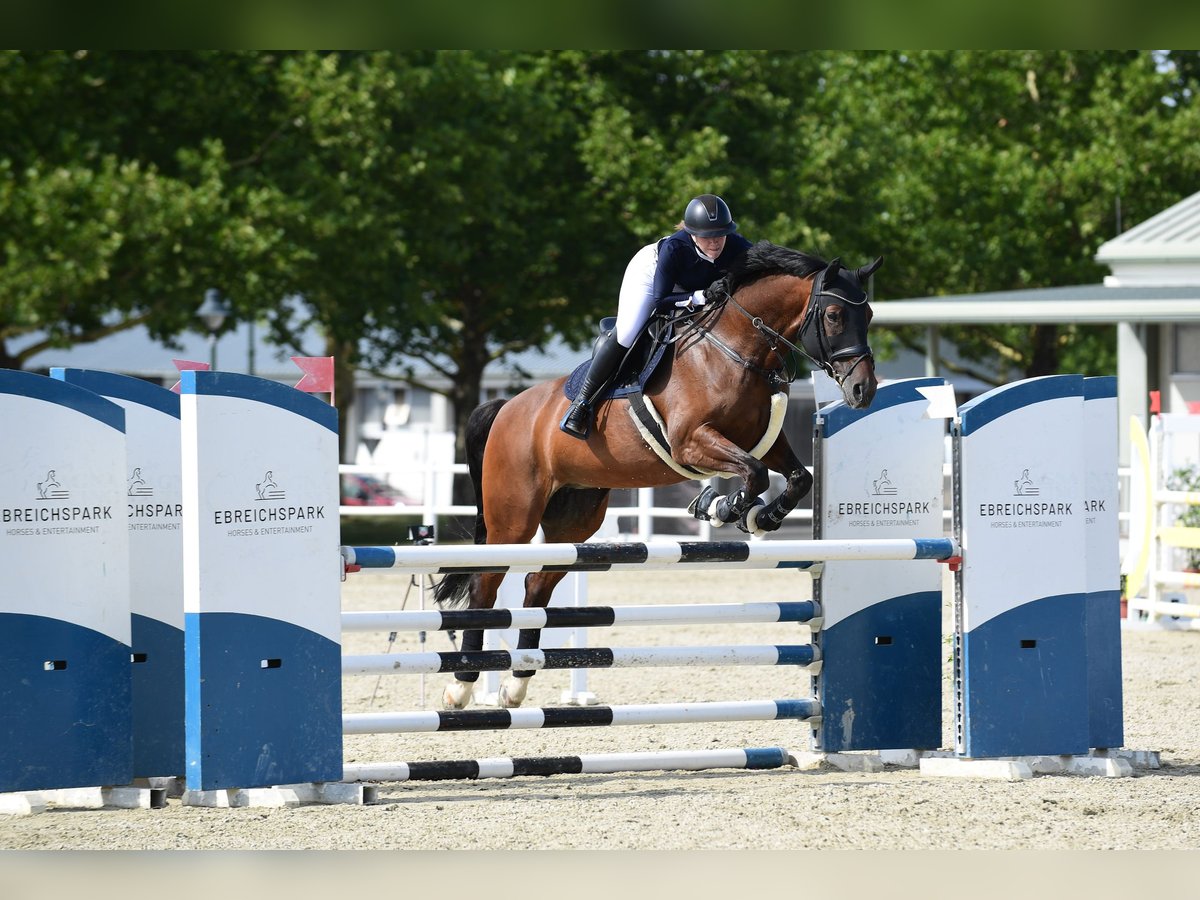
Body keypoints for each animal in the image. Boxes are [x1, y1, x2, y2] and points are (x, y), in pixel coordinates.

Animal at [434, 241, 883, 710]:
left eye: (869, 315)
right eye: (834, 315)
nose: (862, 391)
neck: (734, 350)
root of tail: (506, 407)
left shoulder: (765, 441)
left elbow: (796, 478)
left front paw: (760, 517)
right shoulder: (692, 441)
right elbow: (755, 474)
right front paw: (720, 507)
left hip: (574, 517)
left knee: (537, 583)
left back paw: (516, 683)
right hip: (515, 516)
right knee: (486, 584)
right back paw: (461, 686)